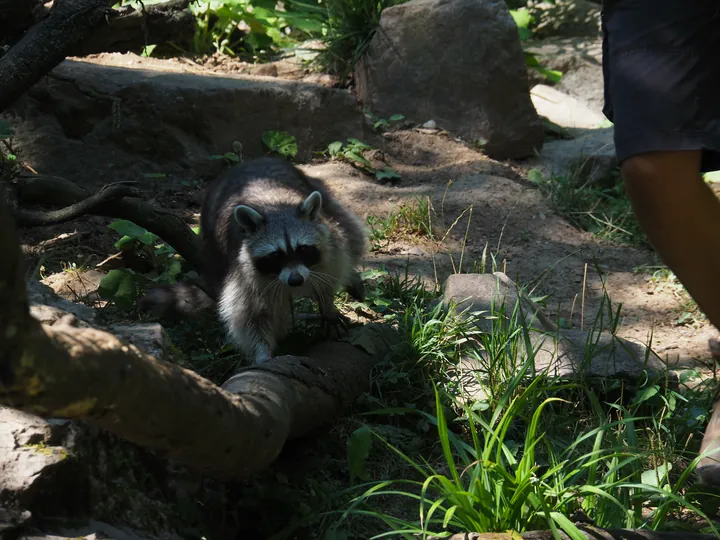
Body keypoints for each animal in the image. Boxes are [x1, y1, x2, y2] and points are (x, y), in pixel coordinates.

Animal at [140, 158, 366, 364]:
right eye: (276, 255)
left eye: (302, 249)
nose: (295, 281)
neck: (275, 208)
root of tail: (247, 162)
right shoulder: (242, 270)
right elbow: (249, 314)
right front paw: (262, 352)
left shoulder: (328, 244)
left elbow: (332, 271)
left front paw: (327, 303)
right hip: (211, 244)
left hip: (323, 197)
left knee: (351, 232)